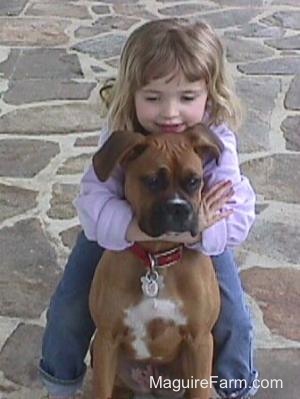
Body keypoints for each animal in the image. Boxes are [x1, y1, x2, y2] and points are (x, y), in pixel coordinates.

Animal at [90, 124, 224, 399]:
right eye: (152, 181)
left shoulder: (200, 342)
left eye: (194, 181)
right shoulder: (106, 340)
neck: (157, 259)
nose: (179, 208)